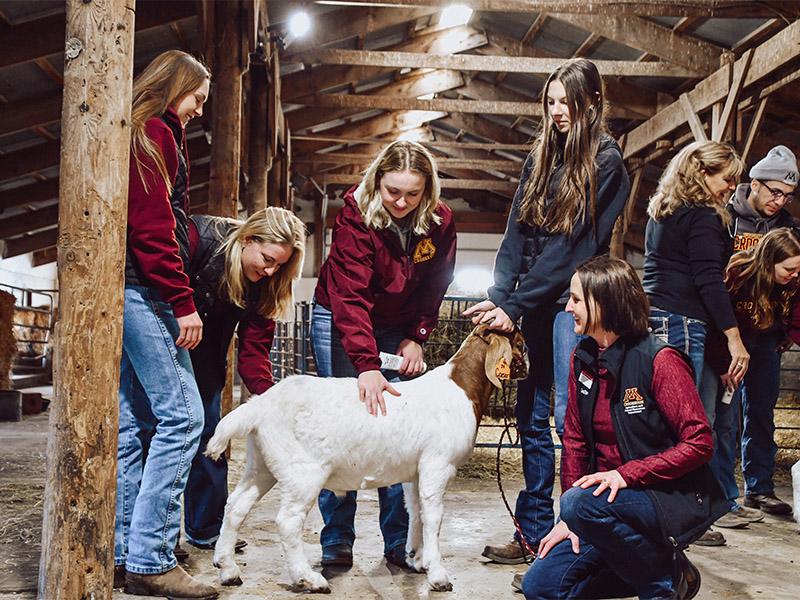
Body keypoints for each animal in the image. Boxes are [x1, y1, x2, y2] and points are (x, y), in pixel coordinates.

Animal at [206, 324, 528, 592]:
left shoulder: (416, 471)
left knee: (236, 506)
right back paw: (309, 579)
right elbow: (434, 516)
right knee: (287, 521)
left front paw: (417, 559)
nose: (528, 367)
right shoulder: (437, 465)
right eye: (521, 344)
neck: (460, 388)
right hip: (303, 472)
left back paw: (228, 569)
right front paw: (438, 576)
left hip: (261, 463)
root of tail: (259, 406)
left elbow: (415, 511)